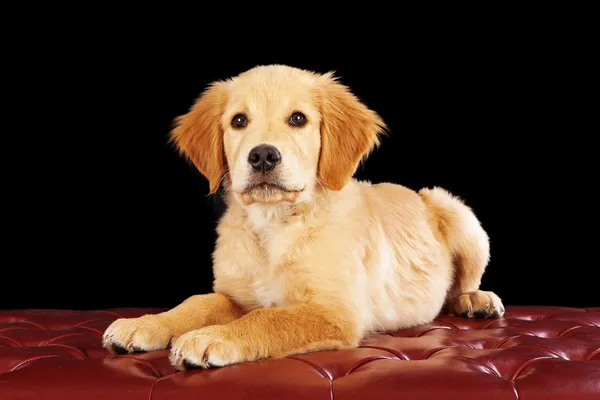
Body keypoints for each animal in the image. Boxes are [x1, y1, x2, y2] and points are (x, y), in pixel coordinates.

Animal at [101, 65, 504, 368]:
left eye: (298, 119)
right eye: (238, 121)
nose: (263, 155)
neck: (274, 225)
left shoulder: (336, 311)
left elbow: (268, 317)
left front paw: (209, 337)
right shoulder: (234, 295)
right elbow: (198, 302)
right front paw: (146, 324)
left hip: (456, 211)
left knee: (460, 286)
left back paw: (476, 300)